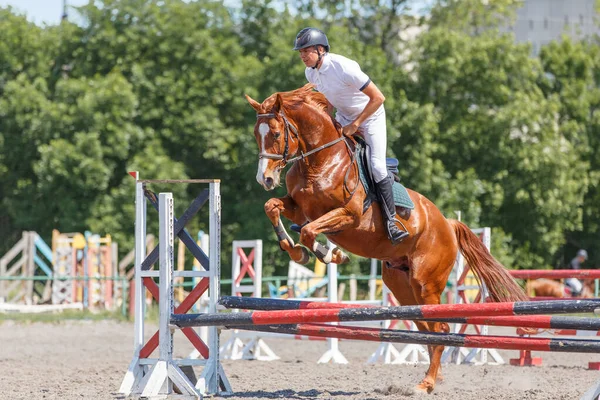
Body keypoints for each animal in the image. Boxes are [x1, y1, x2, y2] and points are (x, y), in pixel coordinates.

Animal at [244, 85, 524, 394]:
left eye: (276, 134)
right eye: (256, 134)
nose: (265, 179)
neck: (319, 161)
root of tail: (447, 224)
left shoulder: (348, 215)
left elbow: (308, 232)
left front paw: (331, 254)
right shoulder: (298, 207)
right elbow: (272, 207)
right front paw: (297, 252)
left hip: (426, 283)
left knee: (439, 329)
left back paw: (426, 383)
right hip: (402, 287)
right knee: (429, 330)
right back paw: (433, 378)